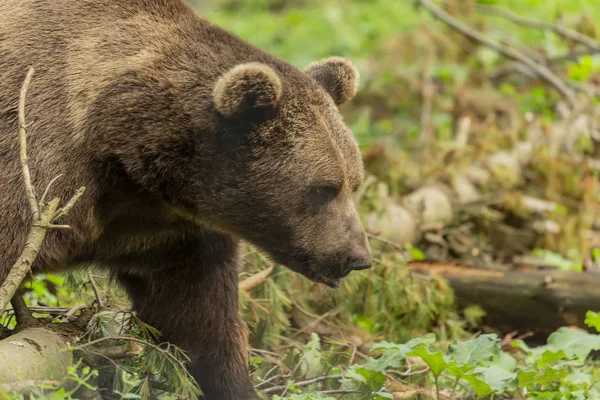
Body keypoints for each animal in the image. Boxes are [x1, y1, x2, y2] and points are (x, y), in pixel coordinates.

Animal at [0, 0, 372, 396]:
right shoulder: (38, 170)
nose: (357, 256)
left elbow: (199, 316)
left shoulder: (167, 232)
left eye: (354, 181)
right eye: (322, 188)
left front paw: (234, 383)